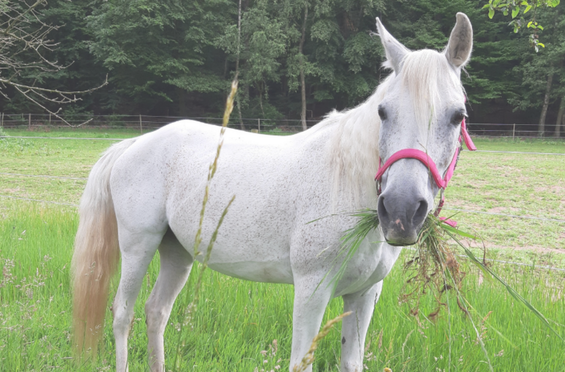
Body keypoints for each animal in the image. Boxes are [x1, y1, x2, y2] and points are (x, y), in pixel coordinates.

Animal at [72, 13, 474, 370]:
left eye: (458, 116)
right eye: (383, 112)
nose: (401, 211)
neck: (344, 183)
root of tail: (135, 143)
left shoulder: (363, 296)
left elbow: (351, 362)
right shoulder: (312, 291)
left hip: (178, 252)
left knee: (156, 311)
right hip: (138, 246)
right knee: (123, 315)